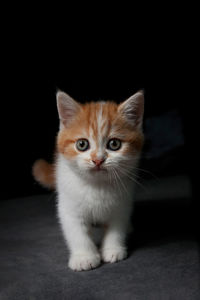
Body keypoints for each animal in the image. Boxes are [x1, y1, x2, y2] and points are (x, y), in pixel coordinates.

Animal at [32, 90, 144, 270]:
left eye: (114, 144)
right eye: (82, 144)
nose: (98, 160)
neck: (97, 186)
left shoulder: (122, 204)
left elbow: (116, 227)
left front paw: (113, 249)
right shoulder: (69, 206)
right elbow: (77, 232)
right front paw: (84, 257)